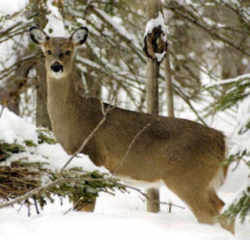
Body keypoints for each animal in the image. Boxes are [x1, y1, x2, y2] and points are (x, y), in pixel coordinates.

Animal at [29, 26, 234, 232]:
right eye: (47, 51)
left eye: (68, 51)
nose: (56, 66)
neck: (74, 117)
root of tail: (222, 141)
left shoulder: (93, 158)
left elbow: (86, 207)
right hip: (203, 182)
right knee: (222, 208)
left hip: (189, 179)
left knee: (210, 214)